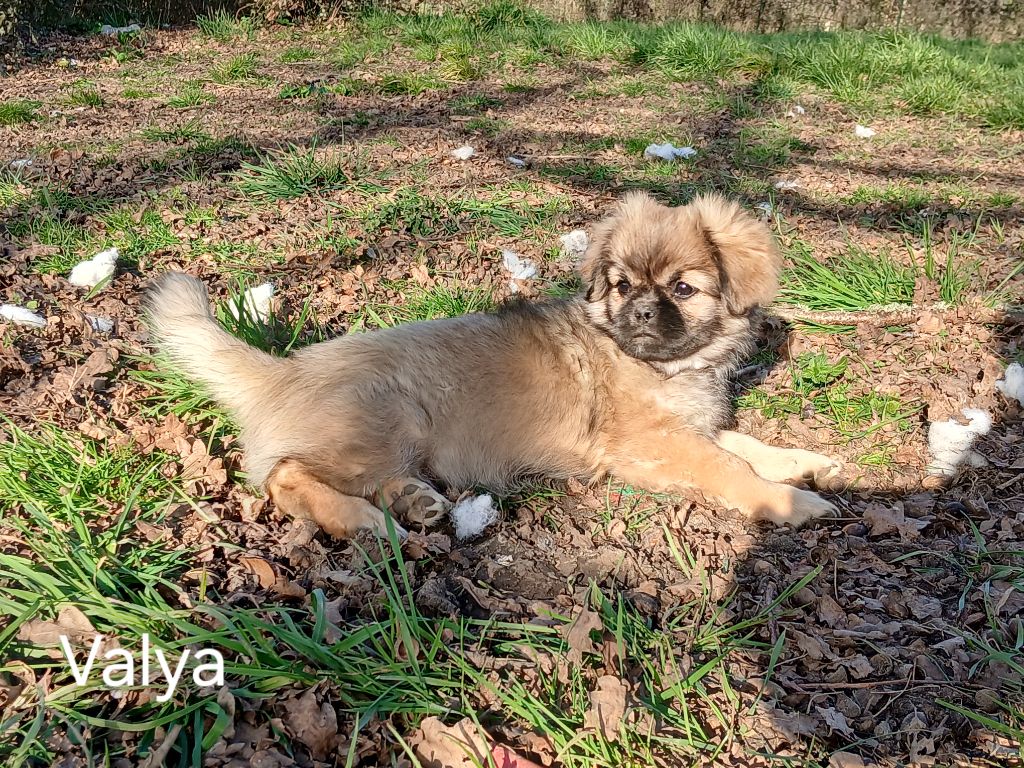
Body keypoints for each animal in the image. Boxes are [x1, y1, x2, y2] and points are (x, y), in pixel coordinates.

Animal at [148, 192, 843, 540]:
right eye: (622, 286)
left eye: (682, 289)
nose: (642, 311)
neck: (671, 369)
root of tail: (284, 371)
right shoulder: (651, 443)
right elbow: (729, 466)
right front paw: (788, 502)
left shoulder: (688, 429)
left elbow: (748, 444)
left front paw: (807, 464)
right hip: (390, 418)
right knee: (282, 477)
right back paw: (361, 520)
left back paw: (415, 503)